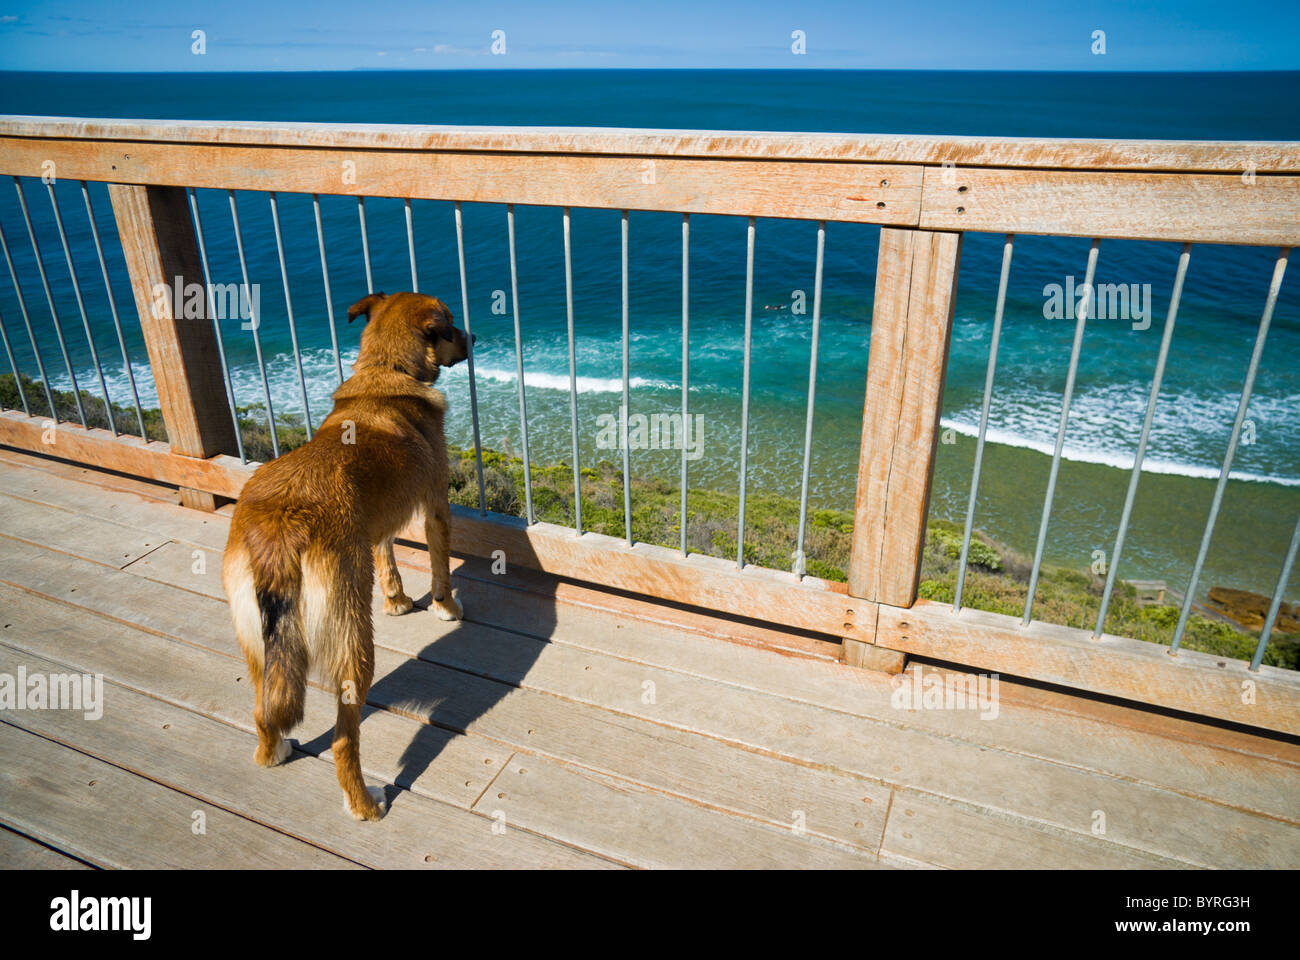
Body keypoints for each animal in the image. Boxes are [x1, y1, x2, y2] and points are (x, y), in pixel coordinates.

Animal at [223, 290, 473, 816]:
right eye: (452, 324)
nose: (475, 337)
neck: (385, 369)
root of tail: (281, 528)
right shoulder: (435, 505)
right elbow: (440, 565)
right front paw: (446, 608)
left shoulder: (375, 523)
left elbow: (387, 556)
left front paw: (397, 600)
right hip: (352, 640)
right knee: (343, 738)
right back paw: (365, 804)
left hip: (256, 639)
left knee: (263, 708)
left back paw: (273, 752)